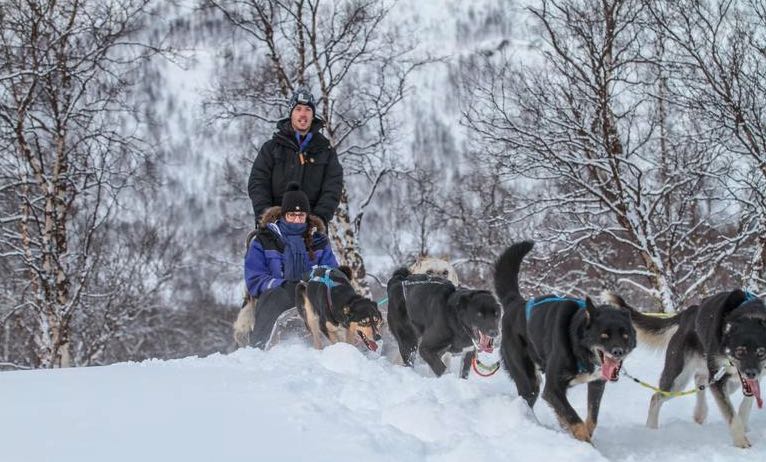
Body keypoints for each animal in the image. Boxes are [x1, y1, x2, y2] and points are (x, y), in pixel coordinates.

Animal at [496, 240, 640, 442]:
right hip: (528, 379)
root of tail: (516, 303)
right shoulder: (552, 389)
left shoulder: (596, 384)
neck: (578, 347)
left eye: (626, 335)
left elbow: (591, 419)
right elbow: (575, 419)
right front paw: (586, 444)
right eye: (604, 335)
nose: (618, 352)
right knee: (527, 399)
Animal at [608, 292, 766, 448]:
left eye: (761, 353)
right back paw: (651, 427)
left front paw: (744, 426)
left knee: (700, 379)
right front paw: (741, 441)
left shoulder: (751, 378)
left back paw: (700, 412)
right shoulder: (718, 378)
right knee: (656, 397)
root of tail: (689, 312)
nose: (751, 373)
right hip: (677, 381)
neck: (751, 315)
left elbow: (745, 405)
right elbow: (731, 415)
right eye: (739, 352)